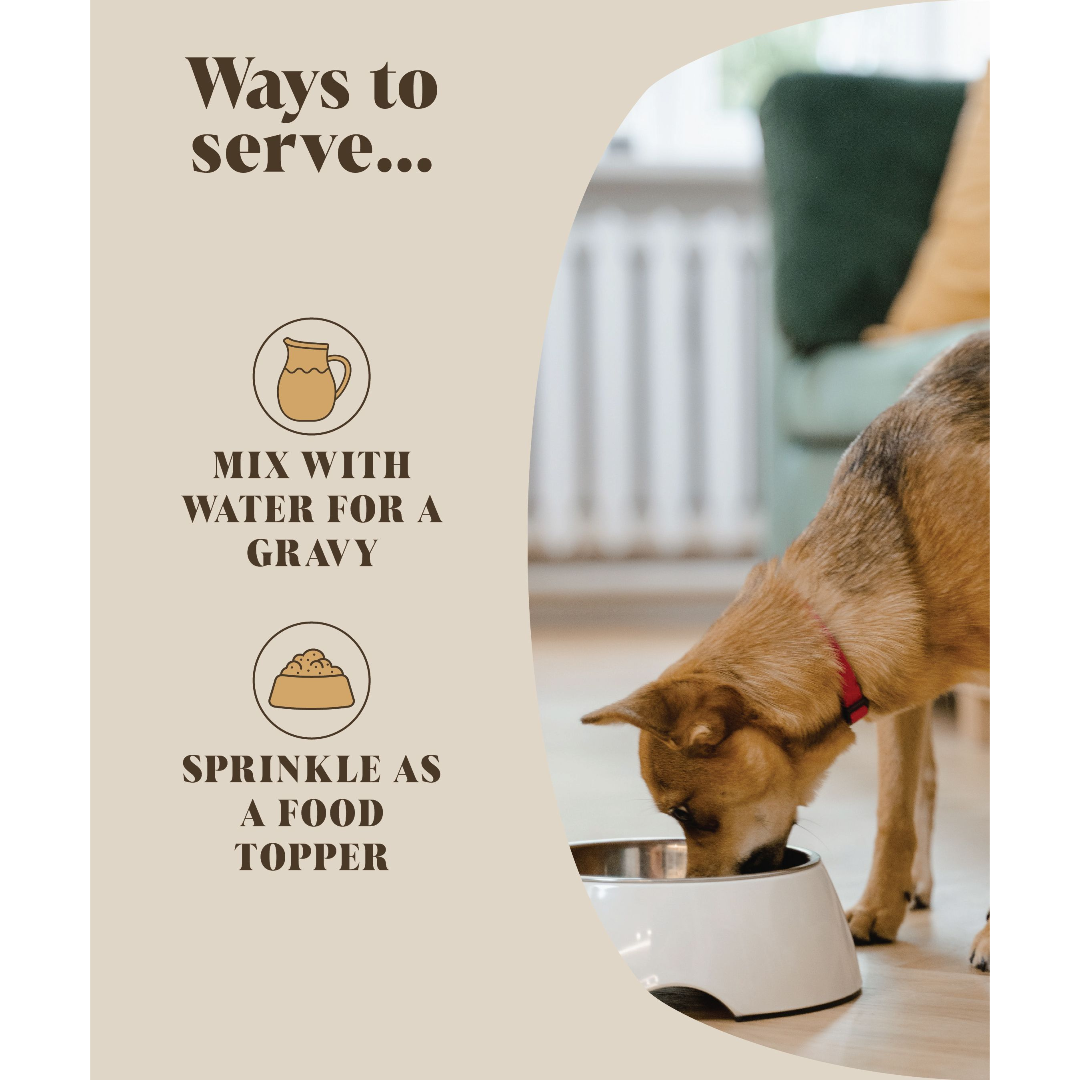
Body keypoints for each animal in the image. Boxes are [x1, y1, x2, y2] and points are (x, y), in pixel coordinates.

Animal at [583, 328, 989, 972]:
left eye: (684, 813)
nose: (696, 897)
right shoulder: (904, 696)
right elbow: (893, 810)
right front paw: (879, 906)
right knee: (925, 779)